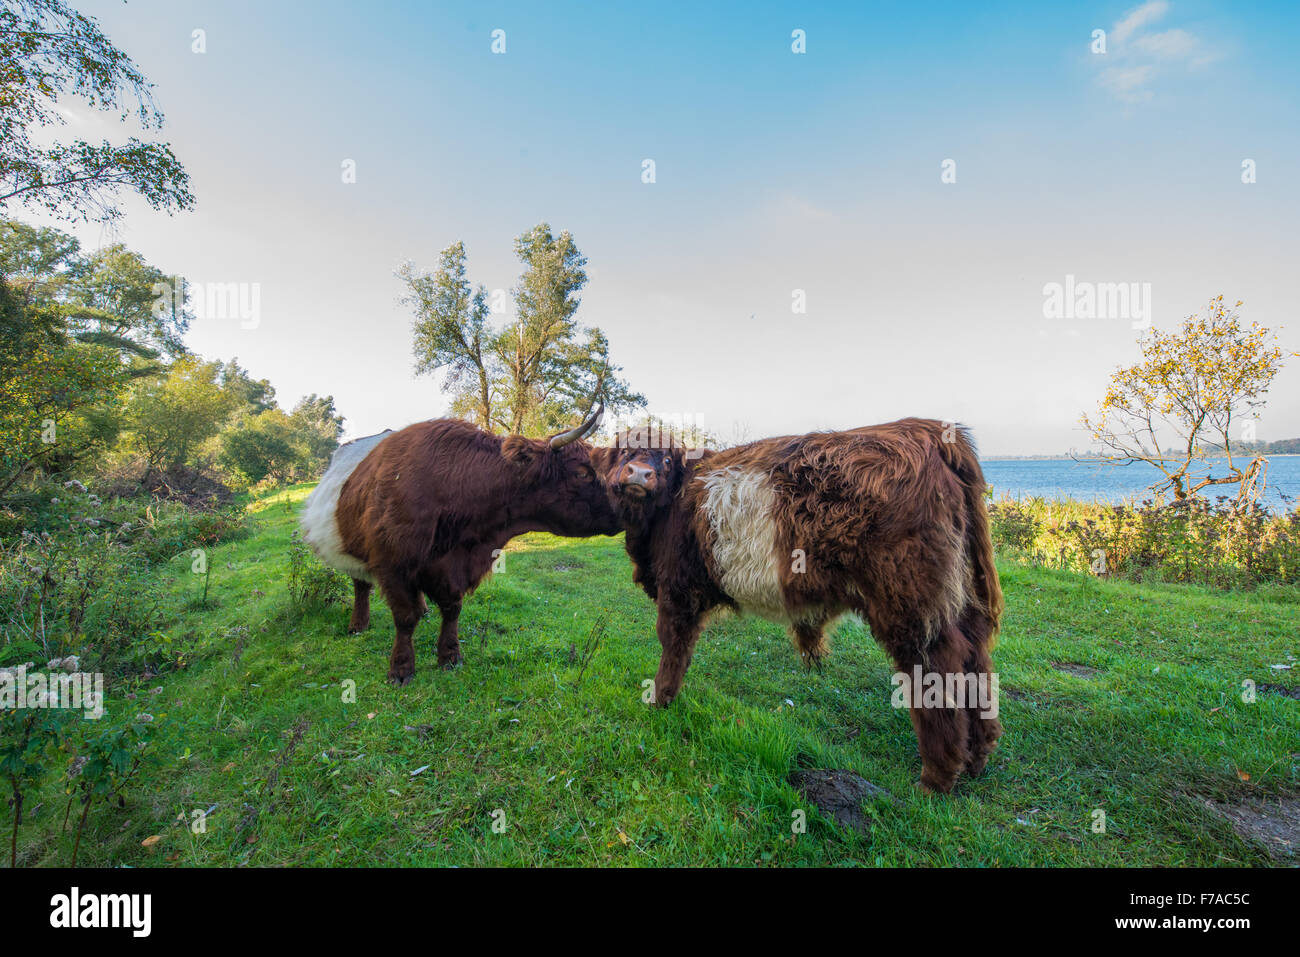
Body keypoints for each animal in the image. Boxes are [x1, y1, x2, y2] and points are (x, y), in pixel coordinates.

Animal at [301, 408, 616, 686]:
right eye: (582, 473)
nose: (625, 503)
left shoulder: (454, 566)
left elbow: (452, 609)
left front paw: (450, 656)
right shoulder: (393, 564)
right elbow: (404, 617)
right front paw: (401, 668)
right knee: (360, 584)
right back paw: (358, 624)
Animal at [592, 418, 1003, 790]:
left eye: (664, 460)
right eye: (625, 452)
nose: (639, 474)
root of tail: (928, 431)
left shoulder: (677, 589)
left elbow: (672, 645)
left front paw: (659, 700)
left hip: (910, 601)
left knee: (938, 666)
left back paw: (936, 778)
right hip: (960, 597)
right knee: (975, 657)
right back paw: (978, 757)